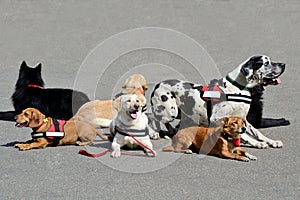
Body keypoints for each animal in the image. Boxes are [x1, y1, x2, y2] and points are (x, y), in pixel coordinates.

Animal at [151, 55, 284, 148]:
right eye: (266, 63)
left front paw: (272, 141)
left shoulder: (244, 119)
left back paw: (172, 131)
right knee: (151, 117)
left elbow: (258, 133)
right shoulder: (218, 119)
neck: (238, 88)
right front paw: (257, 143)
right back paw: (154, 133)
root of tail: (158, 84)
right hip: (169, 111)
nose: (283, 64)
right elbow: (243, 134)